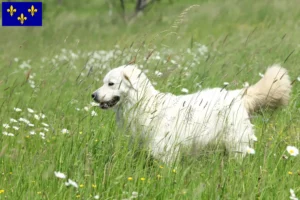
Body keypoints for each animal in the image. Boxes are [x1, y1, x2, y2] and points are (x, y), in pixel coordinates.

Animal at [91, 64, 290, 162]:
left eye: (111, 83)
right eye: (103, 82)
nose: (93, 95)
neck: (145, 104)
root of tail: (237, 94)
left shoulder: (165, 151)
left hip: (236, 144)